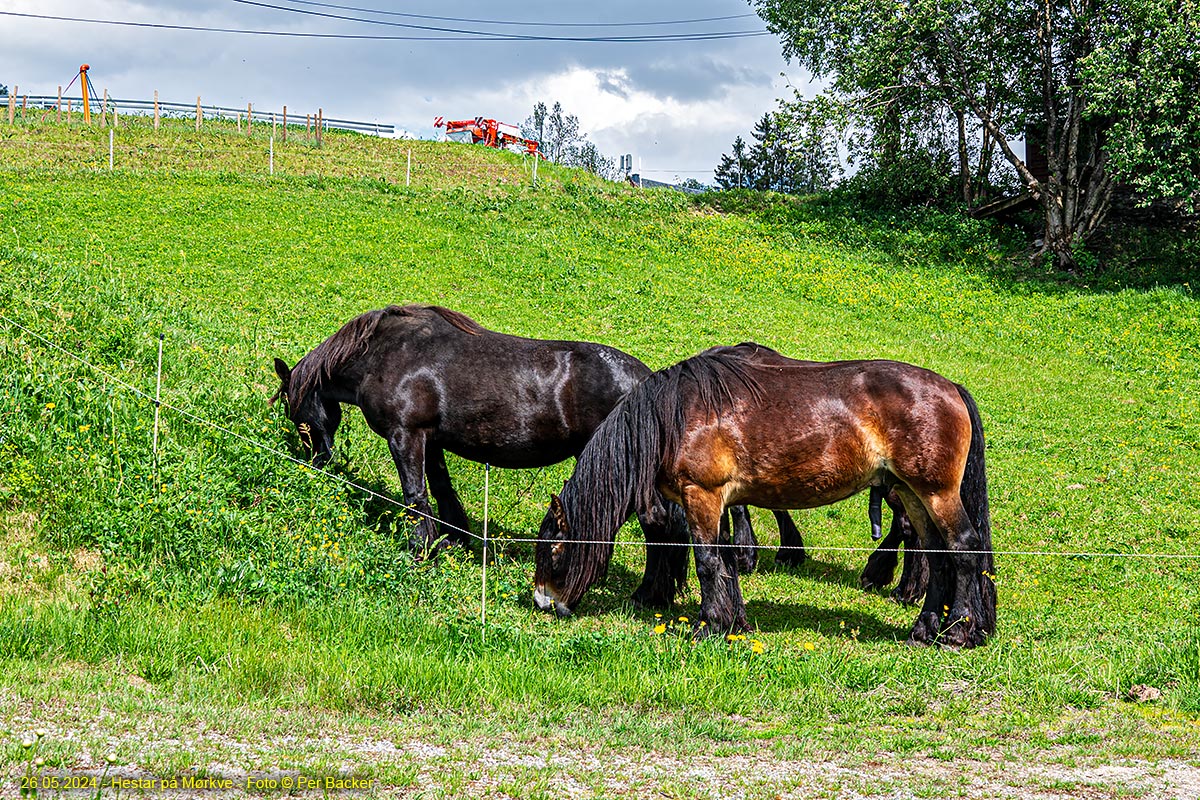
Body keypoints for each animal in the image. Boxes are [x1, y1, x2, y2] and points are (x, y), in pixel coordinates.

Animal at [268, 307, 801, 606]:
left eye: (296, 413)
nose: (315, 463)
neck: (390, 353)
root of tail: (650, 382)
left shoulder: (407, 437)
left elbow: (416, 495)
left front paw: (422, 549)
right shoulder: (431, 440)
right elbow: (442, 490)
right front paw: (457, 539)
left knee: (659, 526)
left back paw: (651, 594)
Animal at [540, 340, 998, 647]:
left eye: (554, 551)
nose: (545, 603)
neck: (674, 415)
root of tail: (951, 388)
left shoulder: (701, 496)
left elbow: (707, 563)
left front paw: (708, 625)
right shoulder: (718, 502)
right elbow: (725, 559)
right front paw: (733, 622)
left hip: (936, 494)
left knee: (963, 549)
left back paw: (957, 631)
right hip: (913, 494)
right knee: (936, 555)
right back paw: (924, 628)